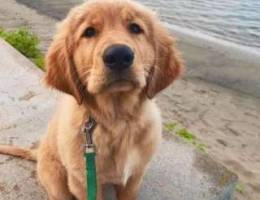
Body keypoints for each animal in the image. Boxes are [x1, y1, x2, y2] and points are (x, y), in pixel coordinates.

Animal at [0, 0, 183, 200]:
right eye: (89, 32)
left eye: (135, 28)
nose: (119, 55)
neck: (117, 120)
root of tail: (38, 151)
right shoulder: (82, 181)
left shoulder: (134, 178)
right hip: (56, 181)